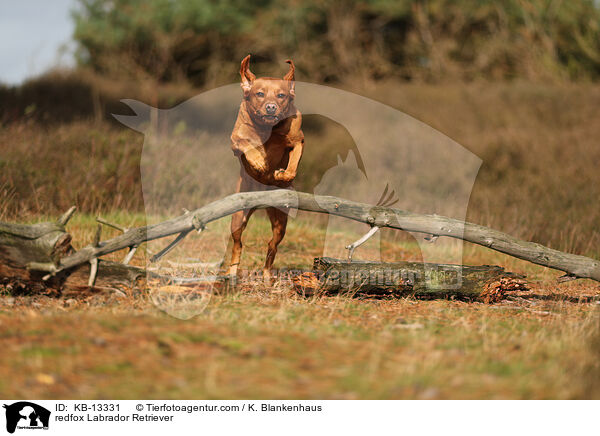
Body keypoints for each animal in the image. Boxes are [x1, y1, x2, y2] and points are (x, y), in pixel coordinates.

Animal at [225, 54, 304, 280]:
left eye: (281, 95)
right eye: (259, 94)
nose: (271, 107)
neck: (267, 128)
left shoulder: (298, 141)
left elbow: (293, 165)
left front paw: (282, 174)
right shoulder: (235, 142)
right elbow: (246, 143)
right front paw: (259, 160)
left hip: (280, 222)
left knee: (272, 246)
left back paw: (267, 275)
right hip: (238, 218)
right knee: (237, 244)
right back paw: (232, 271)